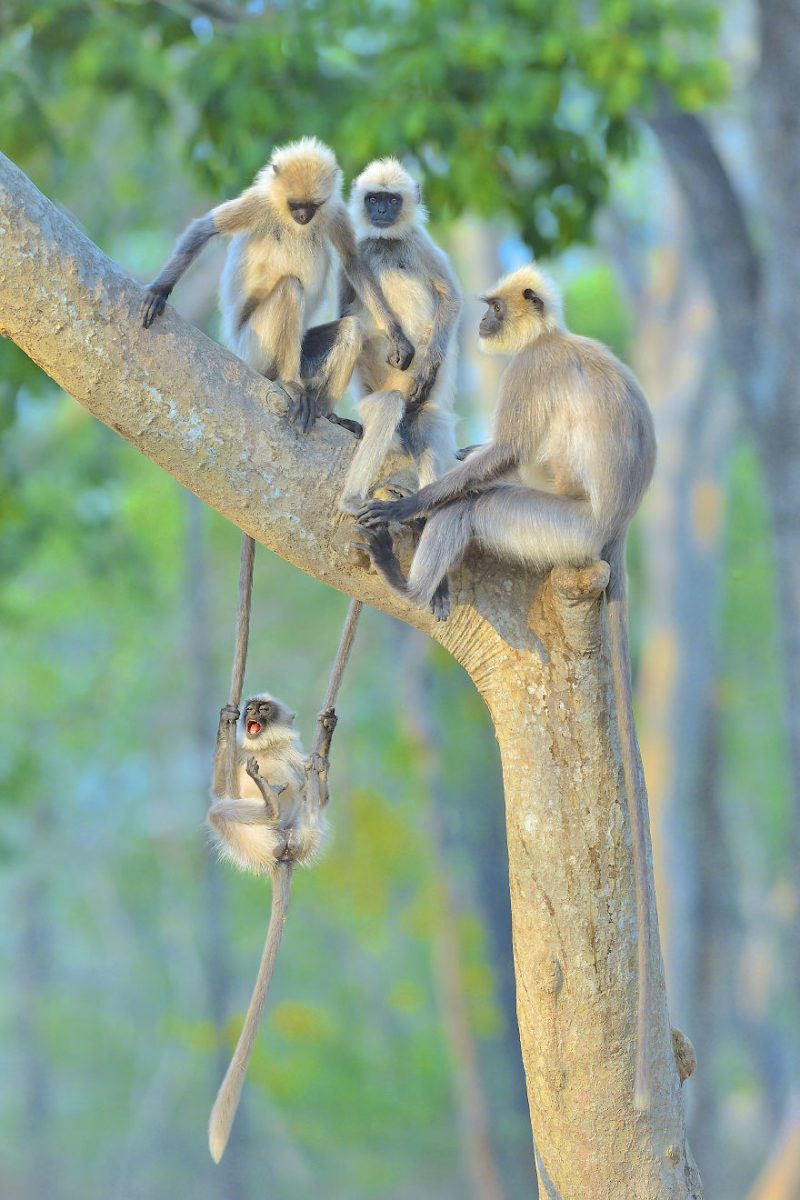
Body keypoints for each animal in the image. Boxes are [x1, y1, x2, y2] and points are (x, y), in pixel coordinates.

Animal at [140, 137, 412, 436]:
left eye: (313, 205)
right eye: (295, 205)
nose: (303, 216)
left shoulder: (334, 210)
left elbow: (354, 263)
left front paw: (397, 336)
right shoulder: (259, 202)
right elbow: (204, 229)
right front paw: (159, 290)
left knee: (351, 327)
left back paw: (328, 414)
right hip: (254, 348)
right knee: (291, 288)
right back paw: (290, 383)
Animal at [205, 696, 335, 1161]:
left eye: (264, 708)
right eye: (251, 708)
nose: (249, 713)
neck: (268, 749)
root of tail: (282, 854)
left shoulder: (293, 758)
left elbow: (323, 795)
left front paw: (324, 743)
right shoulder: (241, 765)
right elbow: (221, 790)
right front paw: (224, 722)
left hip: (303, 836)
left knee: (309, 805)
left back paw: (287, 793)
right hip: (253, 843)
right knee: (221, 810)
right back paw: (269, 806)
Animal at [340, 157, 462, 513]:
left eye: (392, 200)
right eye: (373, 199)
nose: (381, 211)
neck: (387, 242)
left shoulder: (419, 241)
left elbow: (451, 298)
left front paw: (426, 367)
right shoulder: (360, 248)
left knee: (426, 420)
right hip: (378, 395)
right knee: (387, 405)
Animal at [352, 262, 662, 1104]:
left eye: (492, 308)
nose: (485, 323)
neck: (554, 336)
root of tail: (614, 534)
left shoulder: (533, 371)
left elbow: (507, 456)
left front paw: (415, 502)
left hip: (556, 531)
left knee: (485, 506)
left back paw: (408, 577)